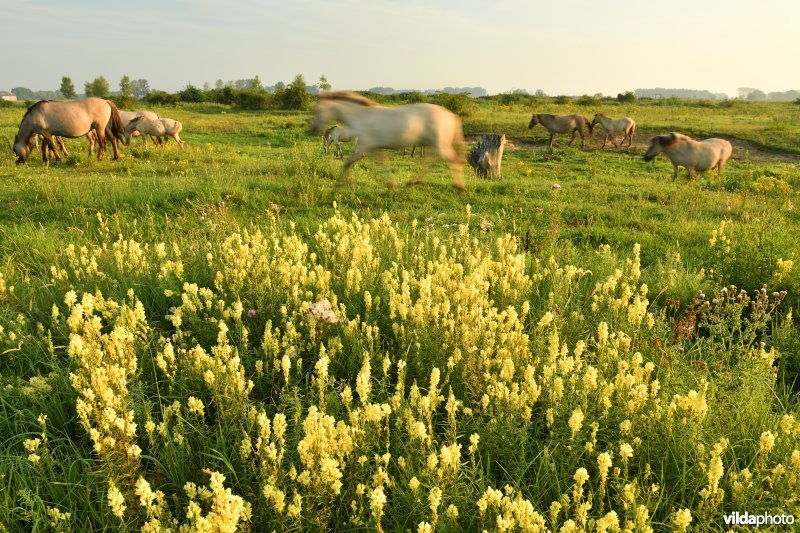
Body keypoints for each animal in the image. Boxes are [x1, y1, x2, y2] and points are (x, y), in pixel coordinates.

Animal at [310, 91, 466, 189]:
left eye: (318, 110)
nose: (313, 128)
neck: (361, 117)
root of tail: (450, 115)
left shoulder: (364, 146)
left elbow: (348, 162)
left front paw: (338, 185)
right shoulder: (373, 148)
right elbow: (381, 163)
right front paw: (391, 184)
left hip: (439, 144)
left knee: (451, 160)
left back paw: (459, 188)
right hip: (434, 144)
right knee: (431, 162)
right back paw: (413, 182)